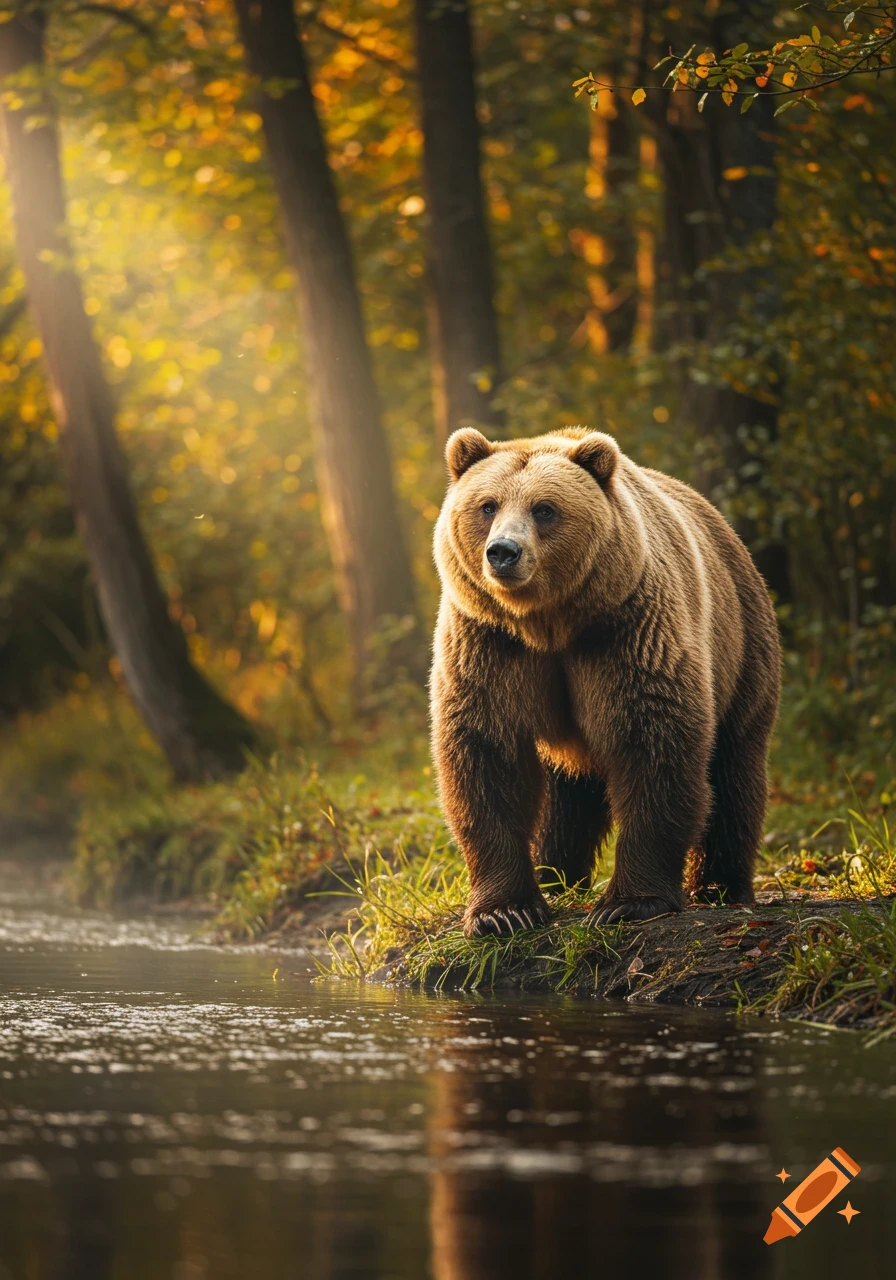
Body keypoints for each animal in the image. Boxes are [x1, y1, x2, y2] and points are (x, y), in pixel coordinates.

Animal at [430, 425, 781, 937]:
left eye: (544, 508)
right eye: (488, 505)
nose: (503, 553)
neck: (548, 622)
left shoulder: (627, 629)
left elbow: (652, 743)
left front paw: (628, 903)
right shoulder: (489, 642)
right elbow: (488, 754)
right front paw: (504, 912)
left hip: (742, 643)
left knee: (736, 767)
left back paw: (721, 885)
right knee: (565, 791)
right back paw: (554, 875)